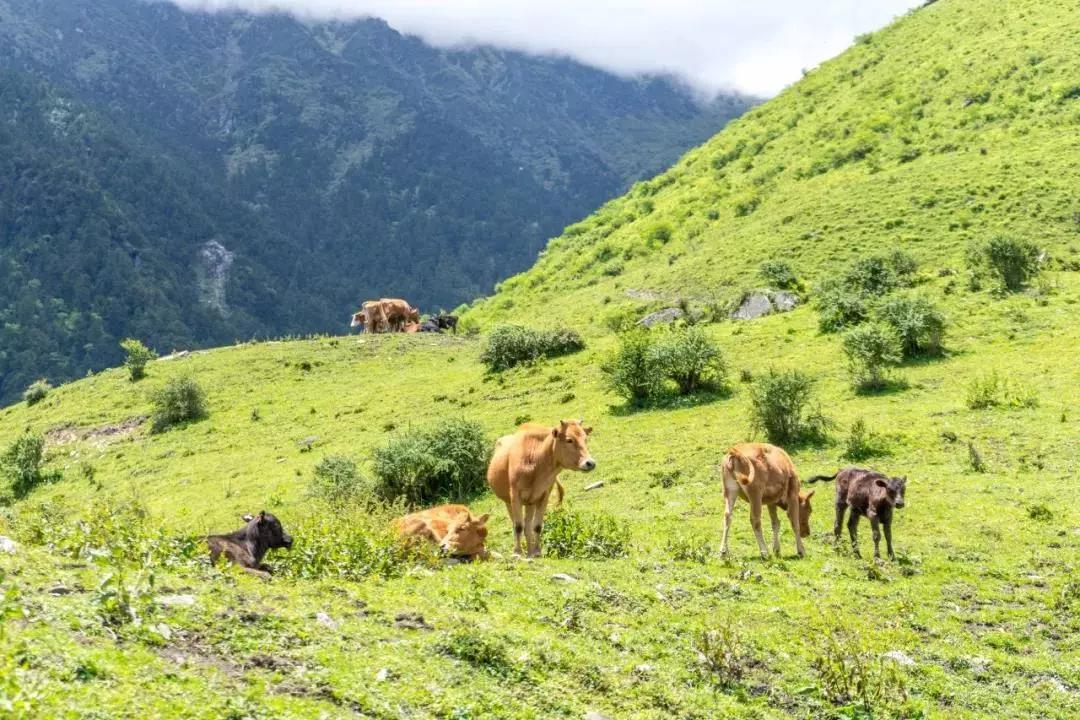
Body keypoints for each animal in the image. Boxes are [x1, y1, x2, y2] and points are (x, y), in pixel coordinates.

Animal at [486, 423, 596, 557]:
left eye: (585, 439)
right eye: (569, 440)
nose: (590, 463)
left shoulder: (543, 496)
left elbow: (537, 526)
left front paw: (537, 551)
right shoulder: (515, 496)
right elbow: (518, 526)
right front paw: (517, 553)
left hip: (530, 503)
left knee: (527, 526)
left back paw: (530, 551)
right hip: (508, 502)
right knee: (517, 524)